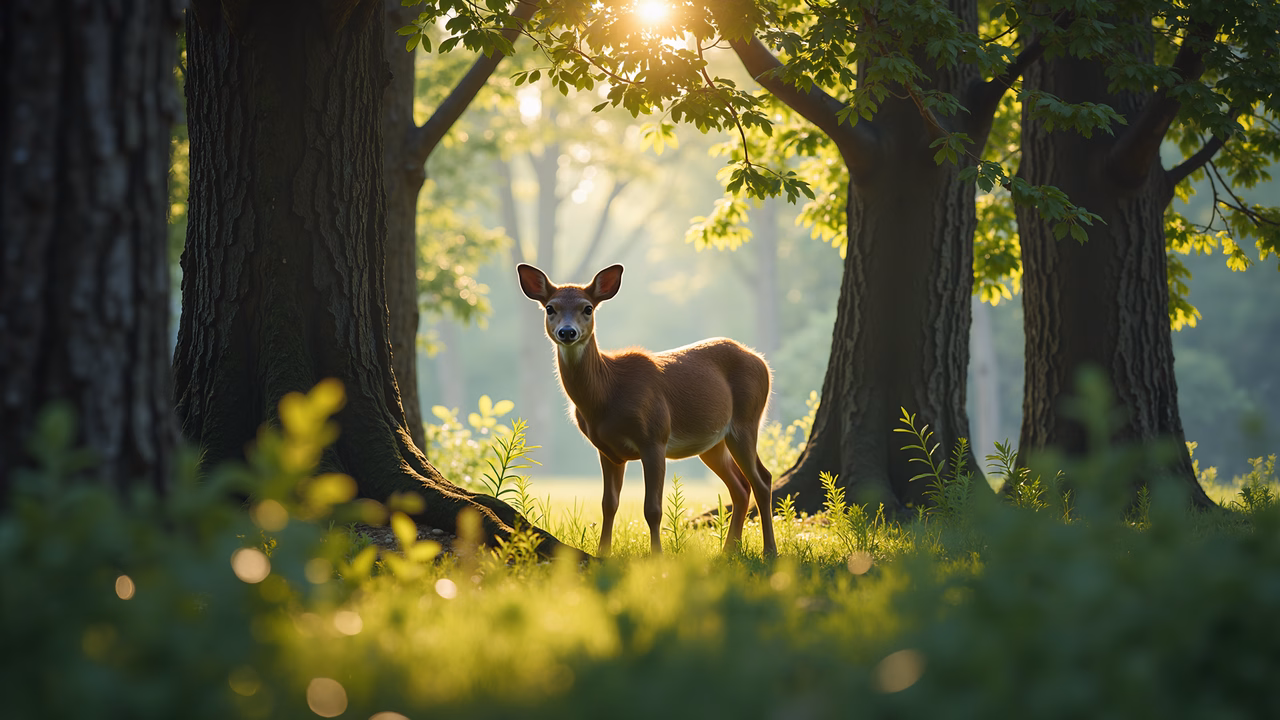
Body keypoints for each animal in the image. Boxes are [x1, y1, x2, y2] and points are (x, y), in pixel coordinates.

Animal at [516, 263, 778, 558]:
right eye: (550, 308)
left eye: (588, 308)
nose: (567, 332)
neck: (607, 394)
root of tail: (762, 361)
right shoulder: (607, 450)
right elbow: (608, 504)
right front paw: (603, 553)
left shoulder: (654, 437)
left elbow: (652, 509)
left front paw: (657, 557)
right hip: (713, 443)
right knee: (740, 486)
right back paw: (728, 551)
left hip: (746, 420)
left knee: (762, 480)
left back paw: (769, 550)